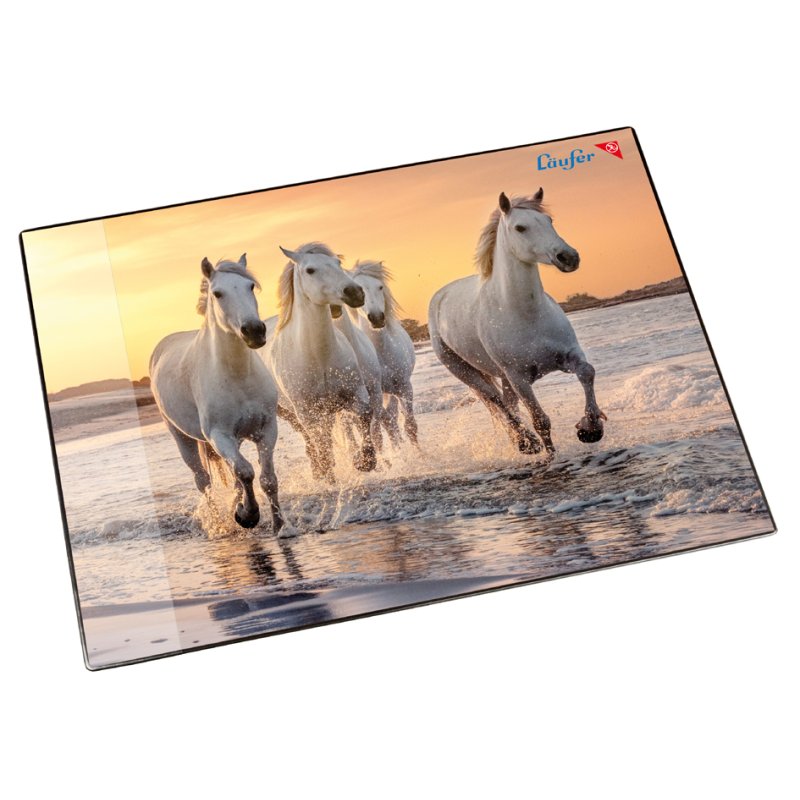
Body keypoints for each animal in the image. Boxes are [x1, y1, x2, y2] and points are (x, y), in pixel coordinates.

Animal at [149, 254, 286, 533]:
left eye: (250, 286)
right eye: (217, 293)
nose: (254, 331)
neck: (237, 377)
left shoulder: (267, 428)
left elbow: (267, 479)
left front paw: (279, 526)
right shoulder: (219, 436)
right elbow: (245, 472)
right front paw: (248, 515)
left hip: (236, 439)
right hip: (183, 438)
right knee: (203, 481)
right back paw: (217, 522)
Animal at [265, 242, 378, 482]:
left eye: (338, 263)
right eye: (310, 270)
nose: (354, 293)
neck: (319, 357)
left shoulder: (355, 392)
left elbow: (365, 414)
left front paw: (364, 461)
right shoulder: (307, 411)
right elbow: (320, 441)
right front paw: (327, 474)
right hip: (289, 413)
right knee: (310, 438)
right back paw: (319, 470)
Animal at [350, 260, 418, 446]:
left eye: (380, 287)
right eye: (359, 289)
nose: (377, 318)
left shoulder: (404, 387)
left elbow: (410, 426)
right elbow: (380, 429)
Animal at [428, 188, 606, 456]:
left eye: (549, 221)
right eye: (520, 227)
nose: (568, 257)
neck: (526, 314)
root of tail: (440, 296)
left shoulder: (568, 355)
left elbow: (587, 372)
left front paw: (590, 428)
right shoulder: (518, 378)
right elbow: (541, 421)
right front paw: (550, 454)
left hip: (501, 376)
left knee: (507, 404)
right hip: (465, 371)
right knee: (497, 402)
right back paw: (526, 442)